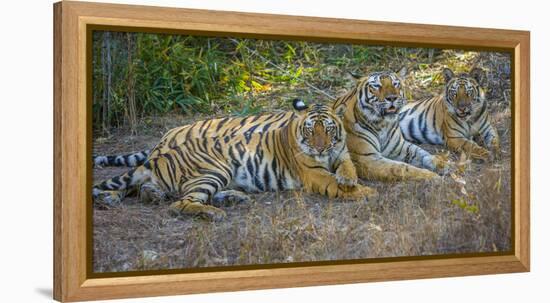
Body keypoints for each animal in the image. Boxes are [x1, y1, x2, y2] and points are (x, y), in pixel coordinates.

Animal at [95, 104, 380, 221]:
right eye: (311, 130)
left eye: (328, 129)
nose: (319, 147)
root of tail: (162, 152)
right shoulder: (316, 174)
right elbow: (337, 185)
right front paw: (366, 191)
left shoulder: (342, 154)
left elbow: (347, 169)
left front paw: (349, 179)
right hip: (213, 170)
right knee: (180, 203)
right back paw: (215, 213)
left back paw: (234, 198)